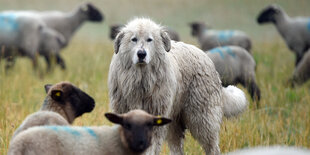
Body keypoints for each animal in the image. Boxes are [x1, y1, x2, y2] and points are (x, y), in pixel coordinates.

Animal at [108, 17, 248, 155]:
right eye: (134, 39)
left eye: (149, 39)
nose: (141, 54)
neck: (141, 81)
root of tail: (205, 56)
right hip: (174, 122)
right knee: (177, 148)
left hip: (202, 117)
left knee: (212, 146)